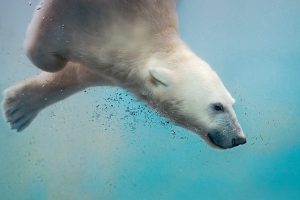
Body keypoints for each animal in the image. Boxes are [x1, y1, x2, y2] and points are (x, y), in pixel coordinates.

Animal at [2, 0, 246, 149]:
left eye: (231, 103)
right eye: (217, 106)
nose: (239, 138)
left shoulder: (113, 62)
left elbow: (83, 72)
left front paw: (18, 108)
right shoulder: (82, 15)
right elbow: (48, 52)